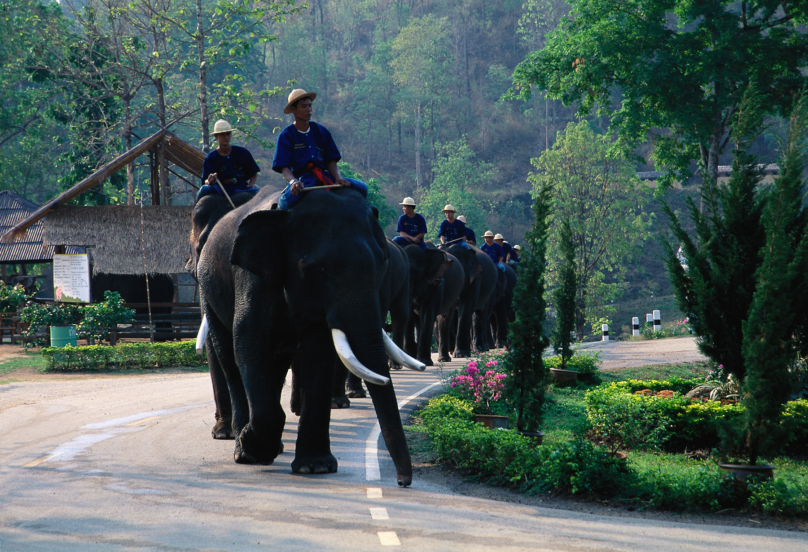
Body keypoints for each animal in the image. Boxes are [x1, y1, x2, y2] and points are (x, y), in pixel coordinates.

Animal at [197, 187, 422, 488]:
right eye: (321, 270)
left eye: (381, 265)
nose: (403, 481)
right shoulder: (253, 277)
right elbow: (248, 341)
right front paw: (252, 448)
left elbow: (320, 353)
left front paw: (315, 468)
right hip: (208, 289)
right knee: (229, 357)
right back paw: (244, 448)